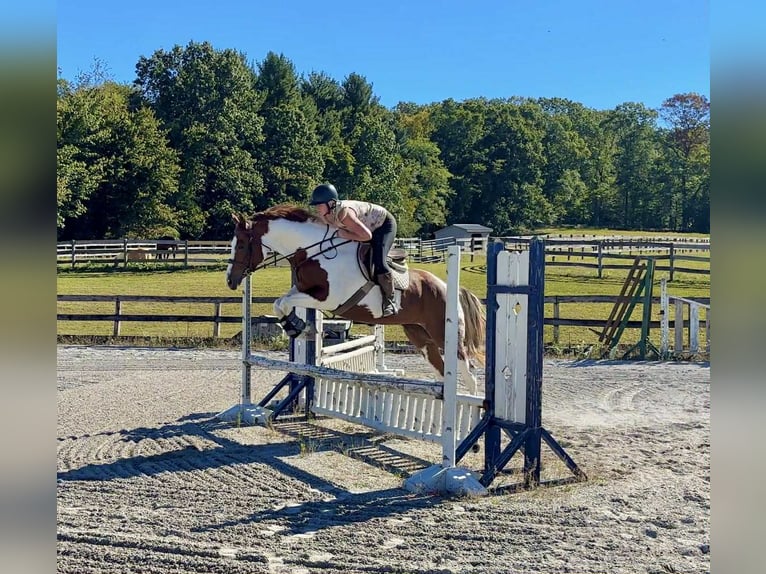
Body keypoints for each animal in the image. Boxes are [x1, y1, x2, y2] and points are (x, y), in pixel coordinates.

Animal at [225, 204, 486, 390]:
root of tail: (449, 288)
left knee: (469, 375)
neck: (314, 252)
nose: (230, 281)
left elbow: (285, 302)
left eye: (241, 246)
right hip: (419, 335)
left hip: (445, 335)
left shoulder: (326, 299)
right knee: (442, 373)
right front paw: (296, 325)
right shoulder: (303, 290)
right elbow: (280, 303)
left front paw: (296, 325)